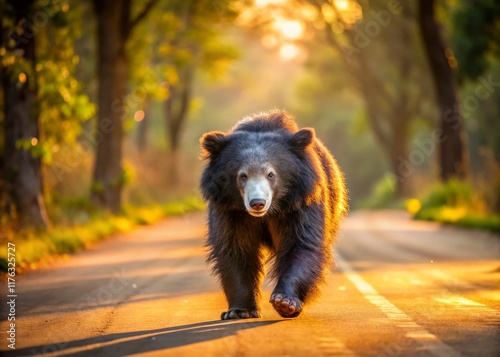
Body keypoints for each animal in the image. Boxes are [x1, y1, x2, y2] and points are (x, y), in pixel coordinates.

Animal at [199, 109, 348, 318]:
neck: (271, 210)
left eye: (271, 174)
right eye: (242, 176)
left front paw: (285, 302)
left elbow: (300, 244)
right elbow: (235, 249)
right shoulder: (230, 209)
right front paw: (239, 311)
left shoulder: (300, 204)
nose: (257, 203)